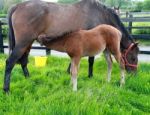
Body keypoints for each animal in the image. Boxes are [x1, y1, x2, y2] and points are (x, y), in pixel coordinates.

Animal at [3, 0, 139, 91]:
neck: (99, 13)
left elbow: (73, 63)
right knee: (10, 62)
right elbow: (90, 61)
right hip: (23, 43)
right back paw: (6, 89)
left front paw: (70, 74)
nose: (134, 75)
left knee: (23, 61)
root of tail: (17, 6)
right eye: (133, 58)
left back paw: (29, 79)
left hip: (28, 43)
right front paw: (89, 76)